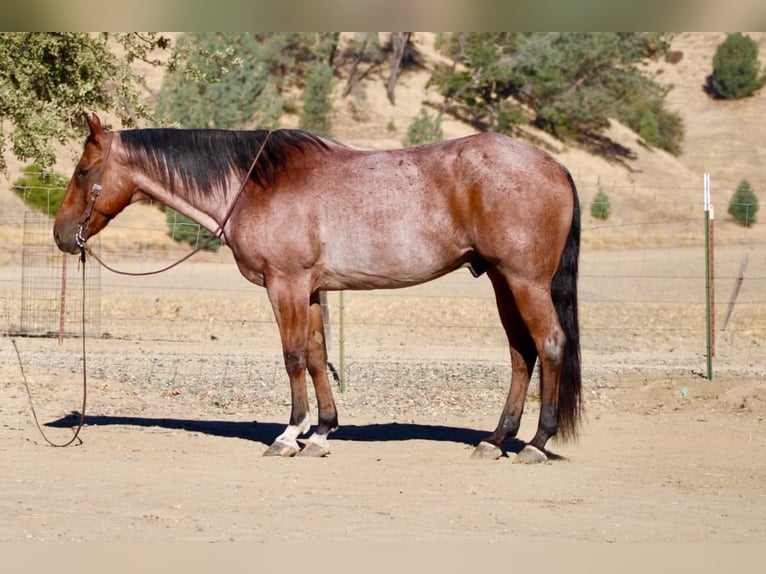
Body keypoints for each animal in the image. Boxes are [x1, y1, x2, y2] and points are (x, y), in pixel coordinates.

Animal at [54, 113, 581, 463]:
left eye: (83, 172)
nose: (61, 235)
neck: (254, 184)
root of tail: (554, 165)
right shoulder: (309, 289)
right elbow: (314, 354)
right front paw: (323, 432)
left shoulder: (285, 284)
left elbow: (292, 357)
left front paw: (288, 435)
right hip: (500, 280)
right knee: (521, 353)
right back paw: (495, 440)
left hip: (524, 281)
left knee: (550, 344)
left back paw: (537, 443)